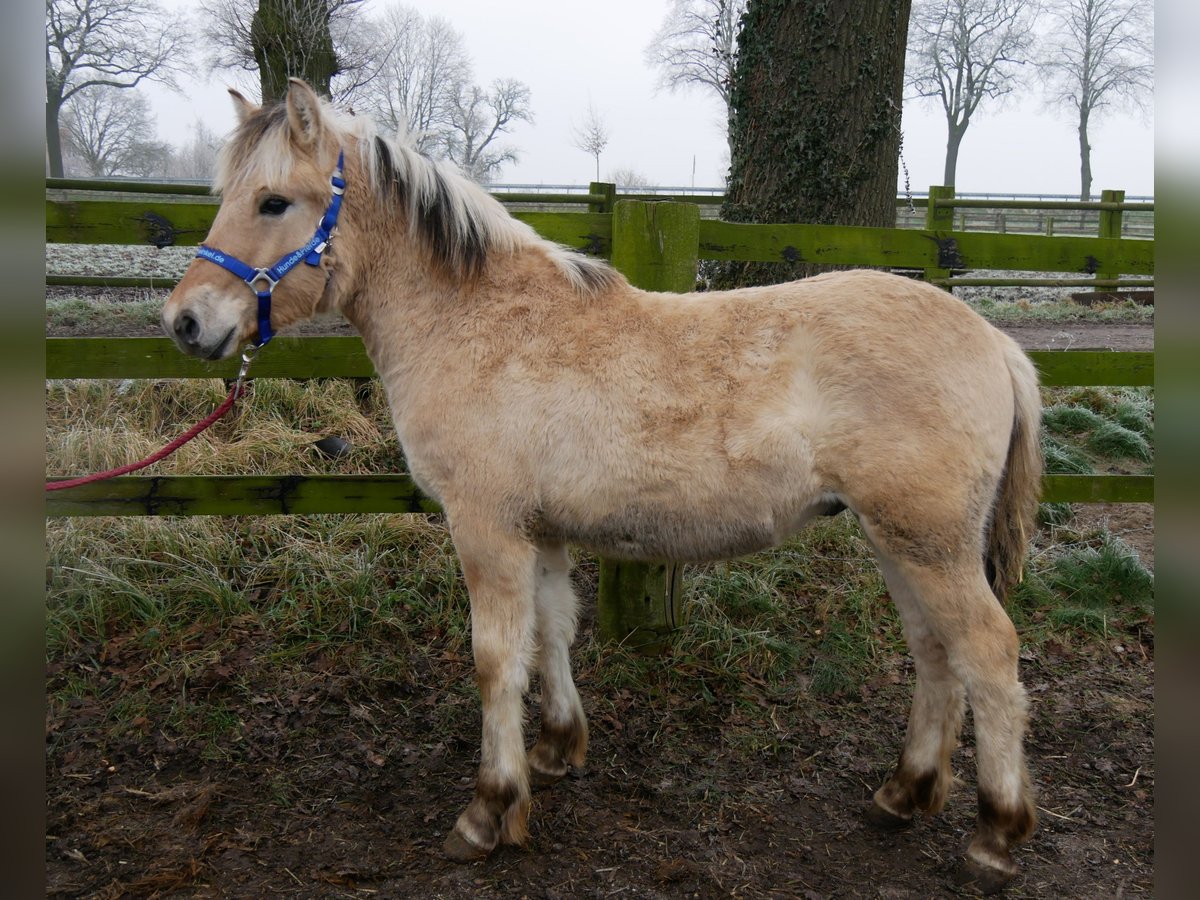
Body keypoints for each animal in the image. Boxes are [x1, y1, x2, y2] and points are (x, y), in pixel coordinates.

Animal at [159, 79, 1041, 897]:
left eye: (274, 201)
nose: (186, 322)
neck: (480, 323)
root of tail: (995, 342)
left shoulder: (486, 529)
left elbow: (495, 660)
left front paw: (490, 810)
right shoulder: (541, 531)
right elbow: (551, 634)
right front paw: (557, 748)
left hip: (927, 543)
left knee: (988, 654)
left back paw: (995, 835)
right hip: (900, 539)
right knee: (934, 652)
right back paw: (904, 792)